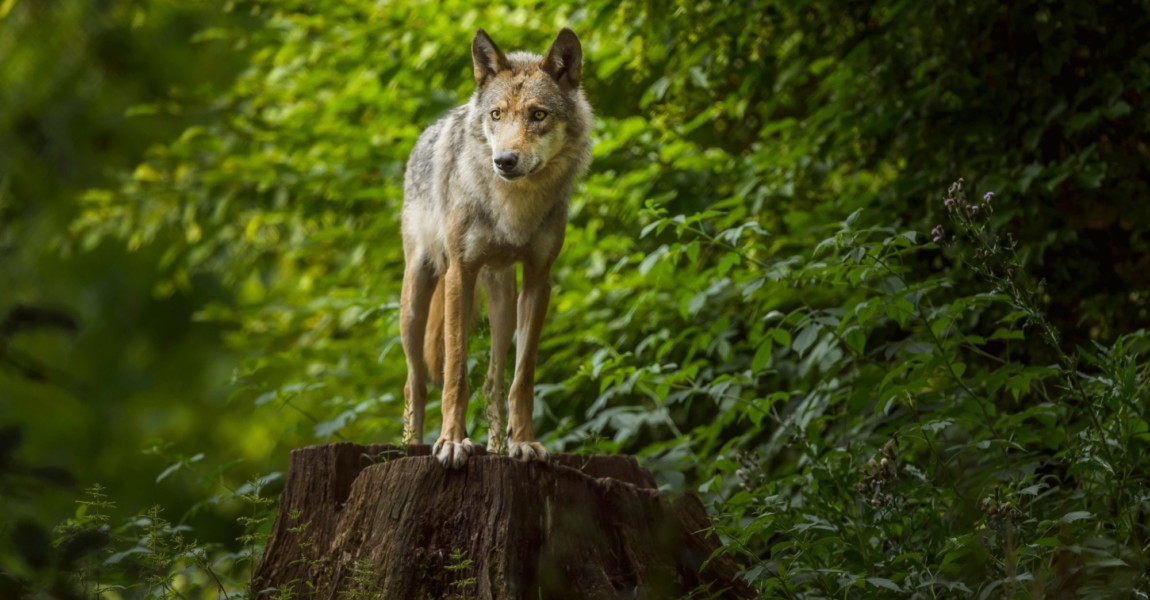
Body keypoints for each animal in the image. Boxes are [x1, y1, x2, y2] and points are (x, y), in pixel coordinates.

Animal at [400, 28, 593, 466]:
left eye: (538, 115)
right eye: (496, 115)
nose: (504, 160)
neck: (514, 208)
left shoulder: (539, 280)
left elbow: (522, 378)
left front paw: (523, 442)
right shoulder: (460, 273)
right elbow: (455, 373)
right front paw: (452, 442)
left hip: (502, 305)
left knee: (492, 381)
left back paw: (497, 448)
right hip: (417, 300)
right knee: (414, 380)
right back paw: (411, 445)